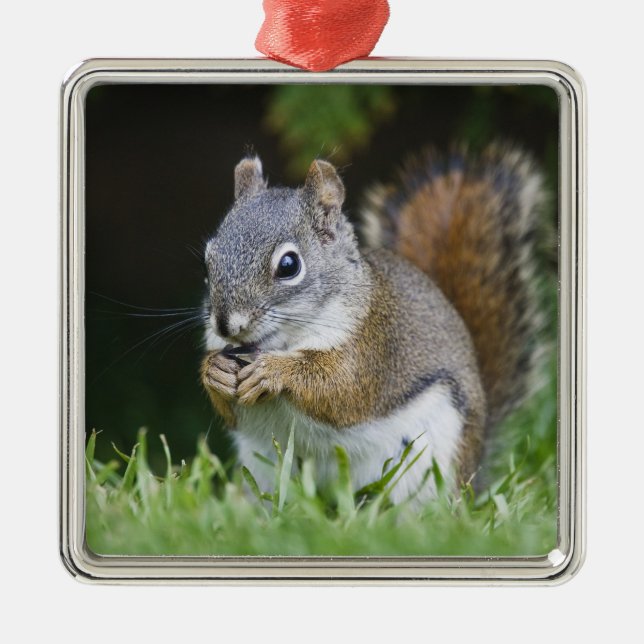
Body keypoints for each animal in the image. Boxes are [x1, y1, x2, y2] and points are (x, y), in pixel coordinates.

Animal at [200, 145, 545, 503]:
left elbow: (340, 390)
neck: (283, 341)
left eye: (288, 265)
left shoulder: (373, 348)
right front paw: (215, 372)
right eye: (208, 262)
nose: (225, 325)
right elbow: (229, 410)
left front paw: (273, 371)